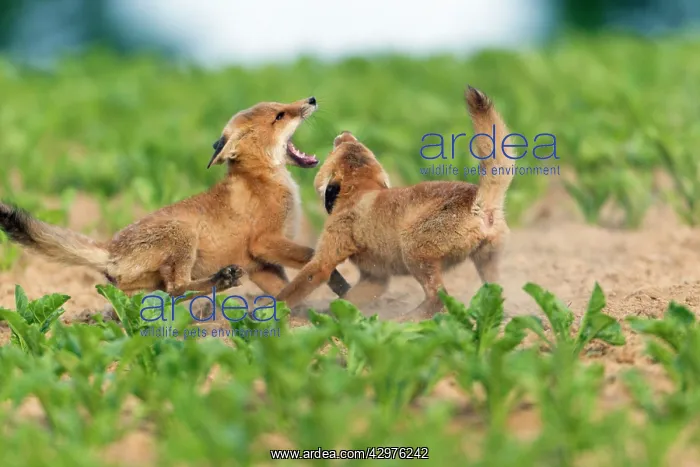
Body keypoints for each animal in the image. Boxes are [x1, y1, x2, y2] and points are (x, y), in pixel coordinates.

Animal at [0, 97, 351, 301]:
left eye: (282, 106)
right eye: (280, 115)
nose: (311, 99)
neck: (263, 182)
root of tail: (110, 248)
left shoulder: (260, 265)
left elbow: (288, 293)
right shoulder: (263, 243)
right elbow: (312, 256)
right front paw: (341, 287)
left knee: (166, 293)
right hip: (183, 236)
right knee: (177, 287)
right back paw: (221, 281)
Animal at [275, 86, 515, 320]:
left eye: (336, 149)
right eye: (355, 144)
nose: (345, 132)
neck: (359, 193)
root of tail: (478, 200)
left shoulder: (325, 260)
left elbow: (293, 290)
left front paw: (271, 314)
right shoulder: (375, 278)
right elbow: (346, 301)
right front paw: (335, 319)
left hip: (414, 252)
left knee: (438, 297)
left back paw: (404, 321)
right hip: (487, 264)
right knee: (495, 295)